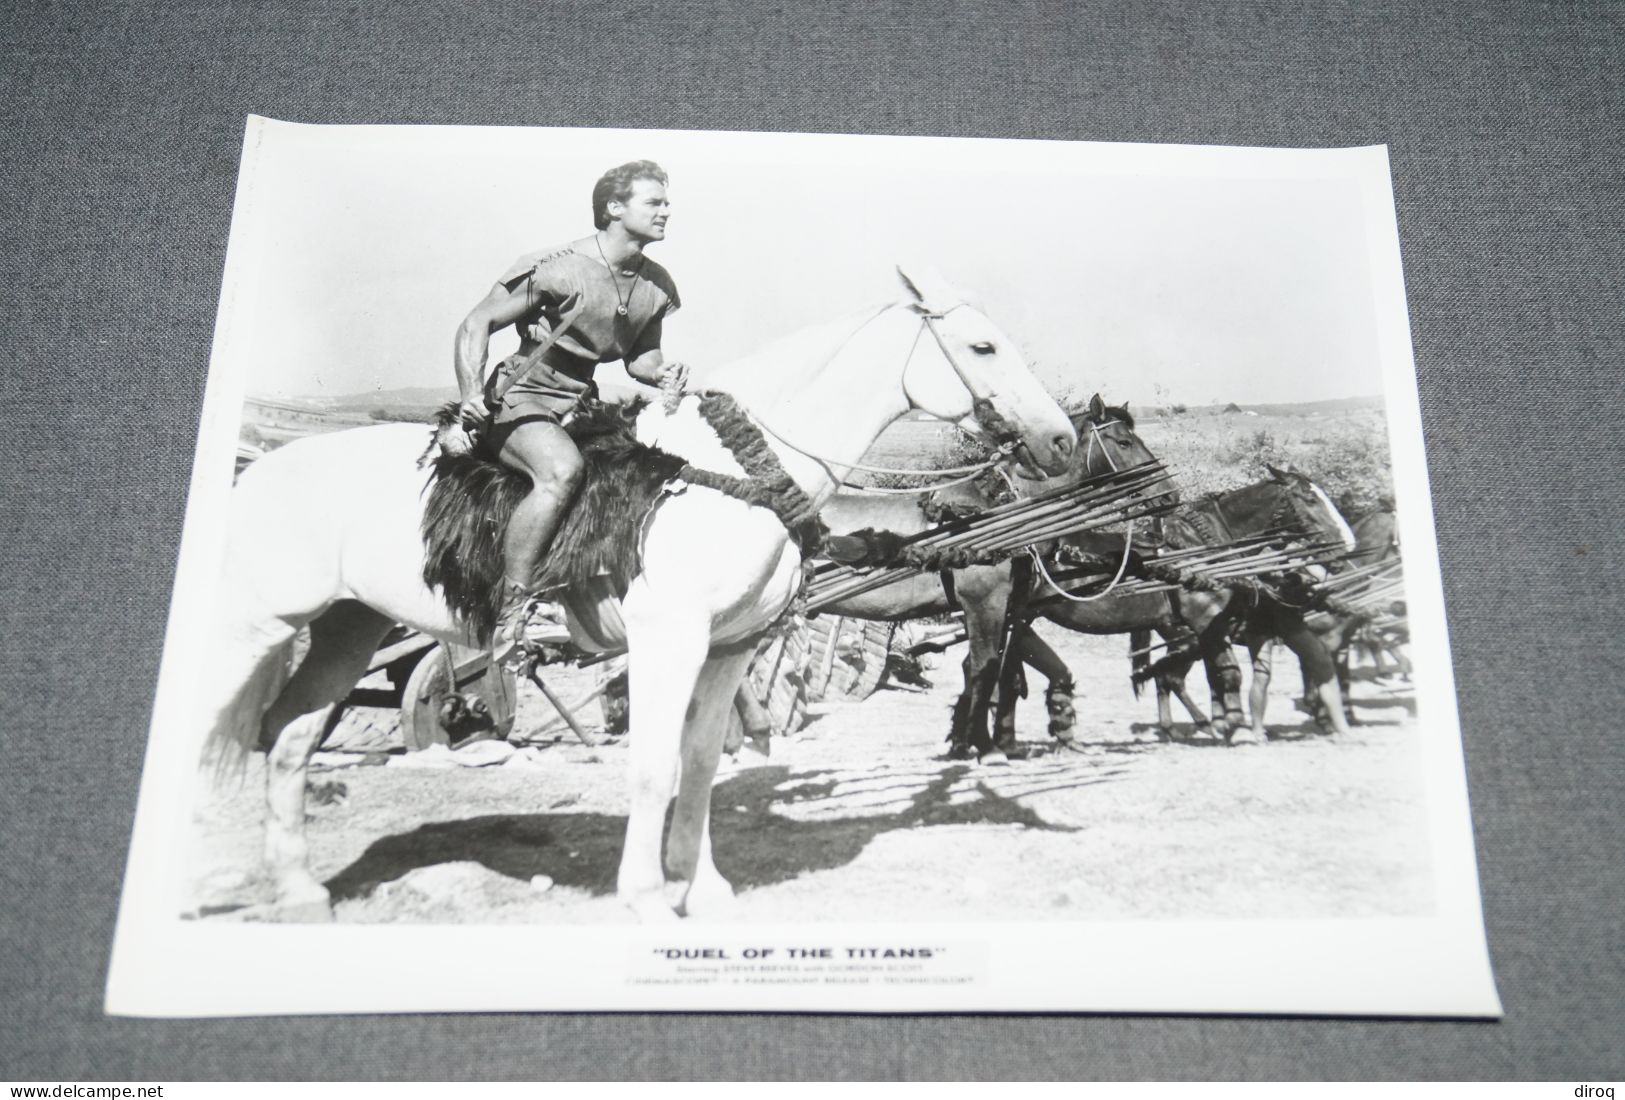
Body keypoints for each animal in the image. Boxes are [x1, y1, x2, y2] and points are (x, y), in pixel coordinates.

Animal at [203, 266, 1079, 916]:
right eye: (982, 345)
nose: (1061, 439)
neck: (732, 473)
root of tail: (261, 470)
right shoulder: (668, 642)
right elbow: (654, 763)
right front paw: (646, 895)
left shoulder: (727, 651)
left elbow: (699, 763)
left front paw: (702, 886)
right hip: (252, 627)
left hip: (347, 626)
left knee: (290, 738)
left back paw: (299, 892)